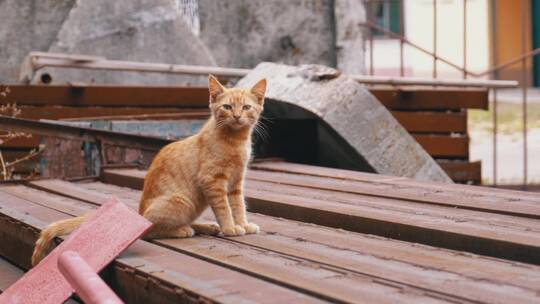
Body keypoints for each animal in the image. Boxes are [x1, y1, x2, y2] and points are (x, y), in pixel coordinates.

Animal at [30, 75, 264, 266]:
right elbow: (224, 208)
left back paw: (206, 226)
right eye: (227, 107)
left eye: (246, 107)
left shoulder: (236, 182)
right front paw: (230, 227)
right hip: (181, 201)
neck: (235, 140)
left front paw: (243, 224)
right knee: (152, 230)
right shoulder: (212, 181)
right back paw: (182, 230)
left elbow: (238, 205)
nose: (236, 116)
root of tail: (139, 214)